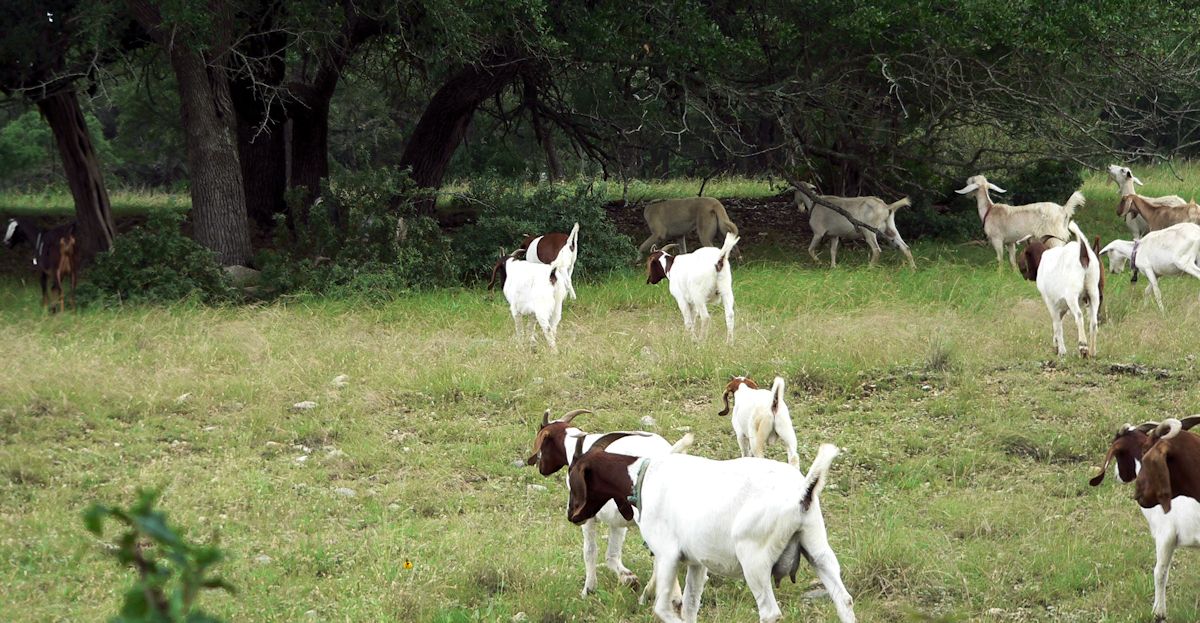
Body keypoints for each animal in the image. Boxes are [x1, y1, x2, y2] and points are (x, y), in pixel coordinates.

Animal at [568, 436, 859, 623]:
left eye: (574, 480)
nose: (572, 516)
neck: (643, 476)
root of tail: (802, 492)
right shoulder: (696, 562)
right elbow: (689, 609)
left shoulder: (667, 555)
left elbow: (663, 610)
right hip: (817, 547)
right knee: (843, 599)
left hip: (754, 559)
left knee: (770, 613)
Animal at [955, 175, 1089, 273]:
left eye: (970, 182)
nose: (966, 196)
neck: (989, 209)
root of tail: (1063, 209)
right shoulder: (1010, 241)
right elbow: (1012, 259)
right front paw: (1014, 273)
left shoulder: (997, 239)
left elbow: (1000, 258)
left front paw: (999, 274)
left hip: (1054, 237)